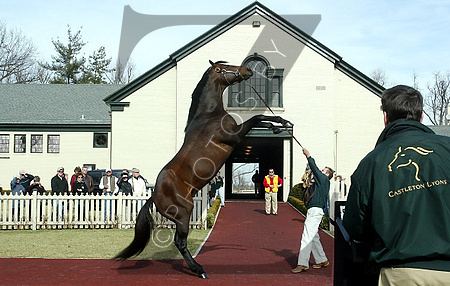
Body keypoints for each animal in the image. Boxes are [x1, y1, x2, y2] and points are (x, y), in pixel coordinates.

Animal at [116, 59, 292, 278]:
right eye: (226, 68)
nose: (248, 70)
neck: (209, 116)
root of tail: (154, 195)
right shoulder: (235, 135)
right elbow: (257, 118)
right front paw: (281, 122)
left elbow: (260, 121)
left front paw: (280, 125)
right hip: (184, 214)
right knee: (180, 242)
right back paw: (198, 269)